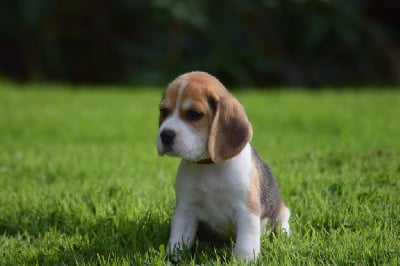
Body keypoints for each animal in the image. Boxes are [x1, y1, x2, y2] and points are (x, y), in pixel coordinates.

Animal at [156, 71, 290, 262]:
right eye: (164, 111)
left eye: (194, 114)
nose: (165, 135)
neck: (209, 165)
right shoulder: (185, 209)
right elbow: (178, 239)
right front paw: (173, 258)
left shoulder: (246, 210)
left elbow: (246, 242)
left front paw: (244, 261)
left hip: (280, 211)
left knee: (283, 220)